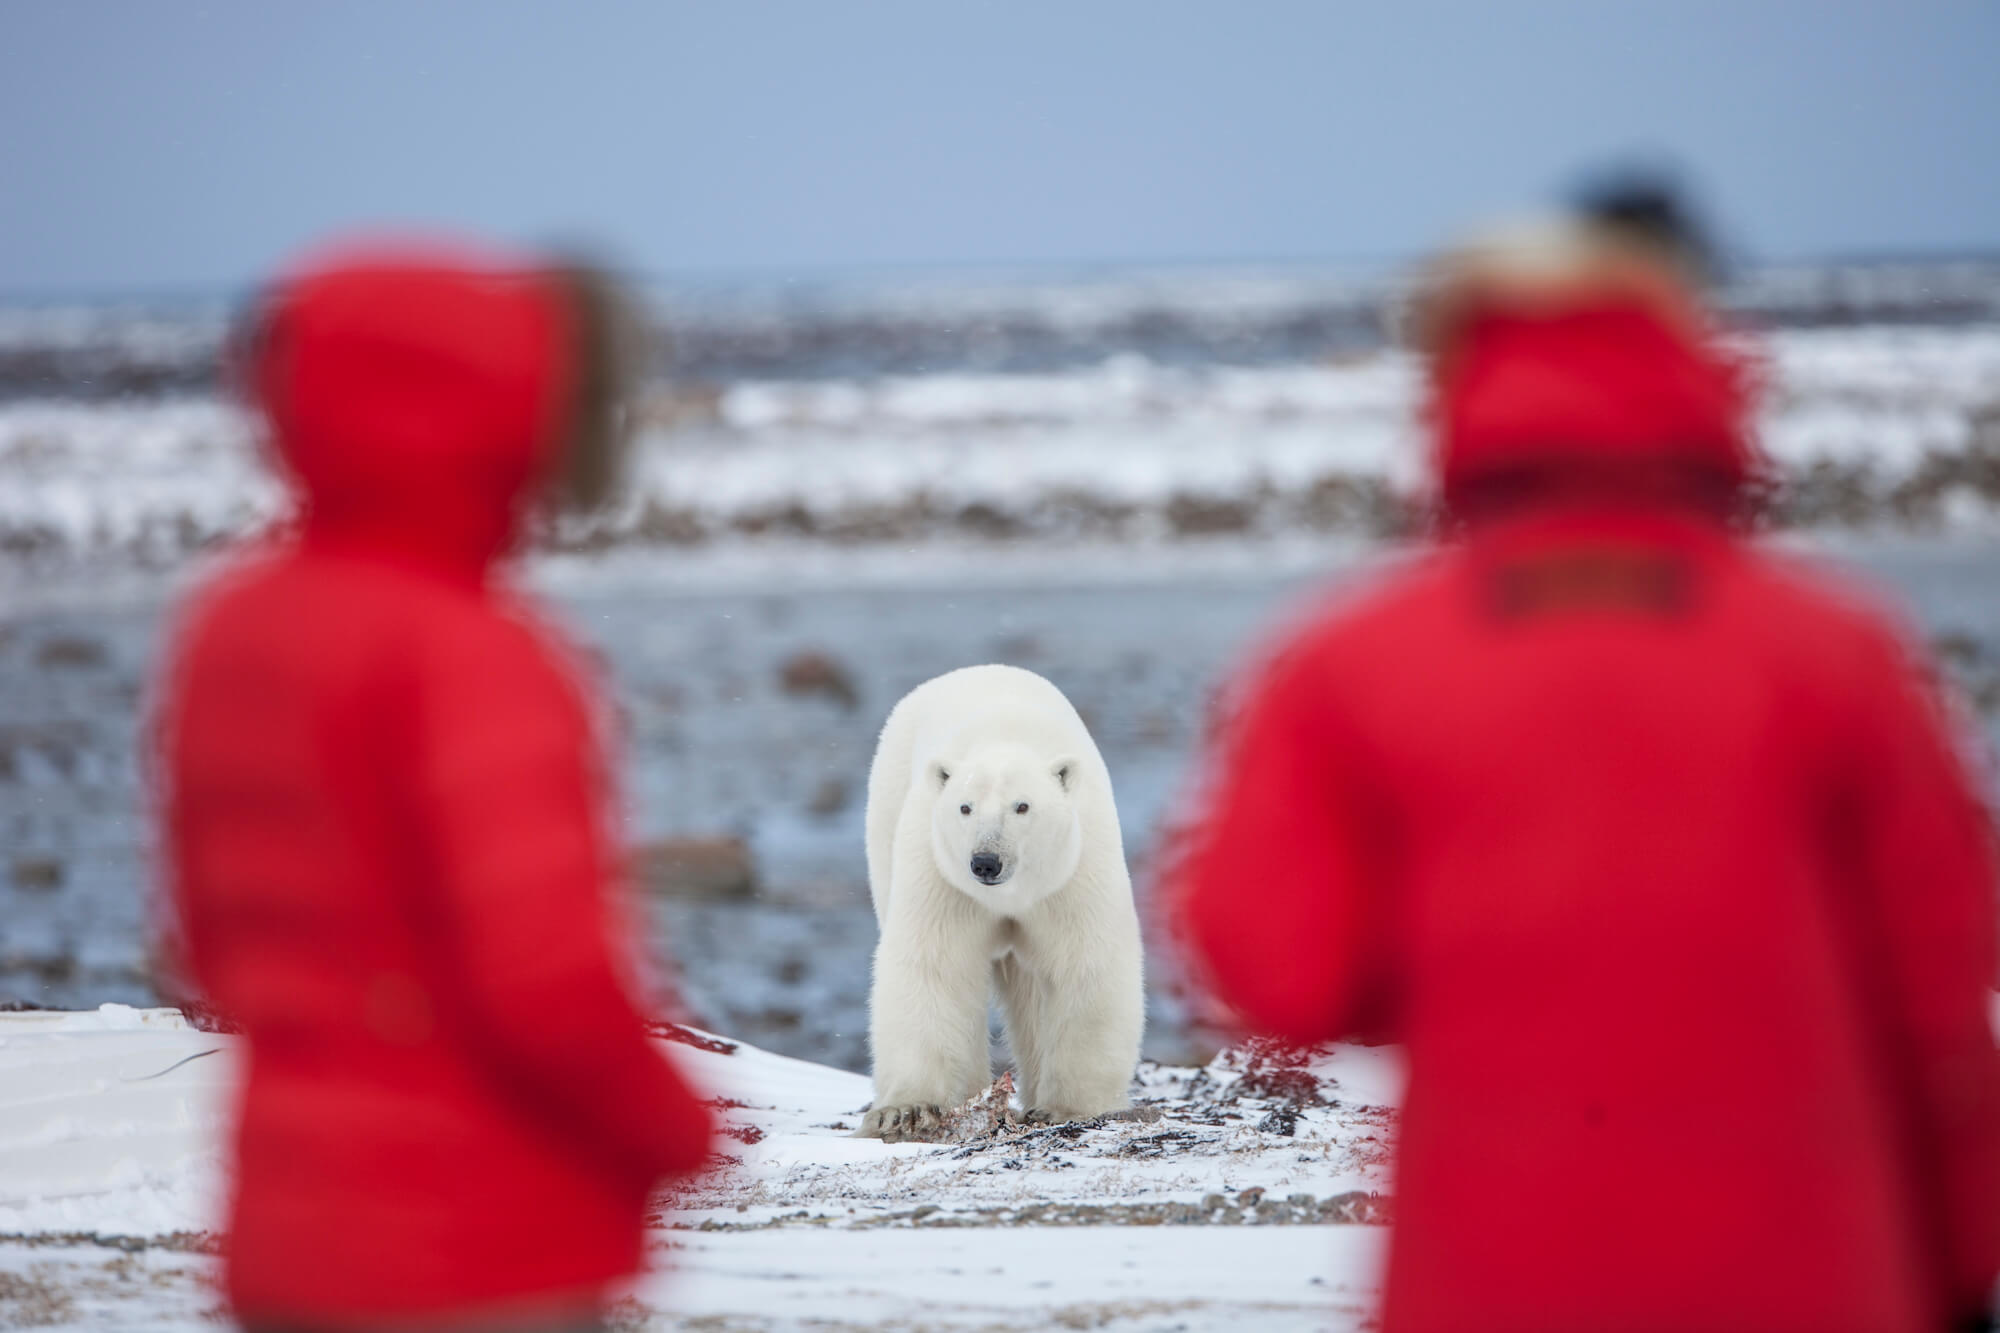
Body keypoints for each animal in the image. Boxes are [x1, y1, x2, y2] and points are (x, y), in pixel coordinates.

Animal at [856, 660, 1144, 1136]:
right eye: (965, 807)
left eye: (1022, 806)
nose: (986, 862)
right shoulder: (943, 877)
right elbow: (934, 966)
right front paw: (905, 1110)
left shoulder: (1071, 873)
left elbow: (1085, 963)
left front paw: (1068, 1107)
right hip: (887, 817)